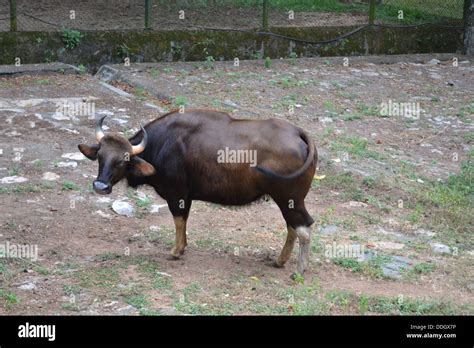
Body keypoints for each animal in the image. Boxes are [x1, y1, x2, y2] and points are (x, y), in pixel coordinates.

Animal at [78, 109, 318, 274]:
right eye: (100, 156)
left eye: (123, 160)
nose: (100, 186)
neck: (161, 144)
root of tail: (298, 133)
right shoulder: (187, 196)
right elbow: (184, 221)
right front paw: (182, 247)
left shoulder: (176, 194)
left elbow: (178, 220)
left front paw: (176, 251)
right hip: (288, 200)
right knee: (292, 226)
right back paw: (280, 260)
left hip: (290, 198)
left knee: (304, 226)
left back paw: (300, 269)